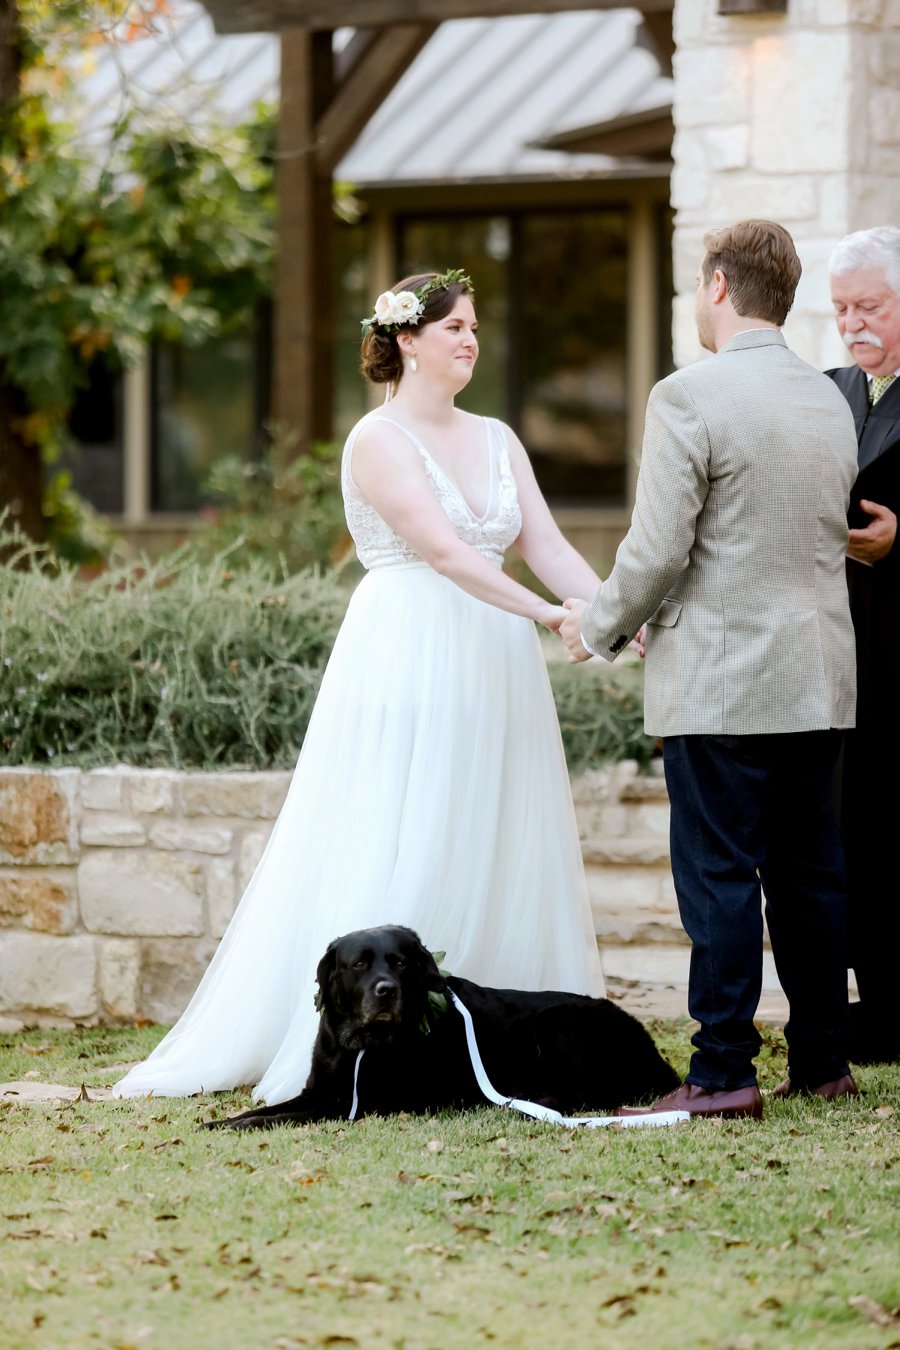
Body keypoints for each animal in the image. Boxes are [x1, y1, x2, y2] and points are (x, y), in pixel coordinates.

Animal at [203, 928, 680, 1128]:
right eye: (359, 964)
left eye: (400, 962)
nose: (386, 990)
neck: (360, 1044)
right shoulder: (319, 1090)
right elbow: (264, 1110)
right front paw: (221, 1121)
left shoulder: (351, 1104)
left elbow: (279, 1118)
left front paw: (232, 1126)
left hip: (558, 1024)